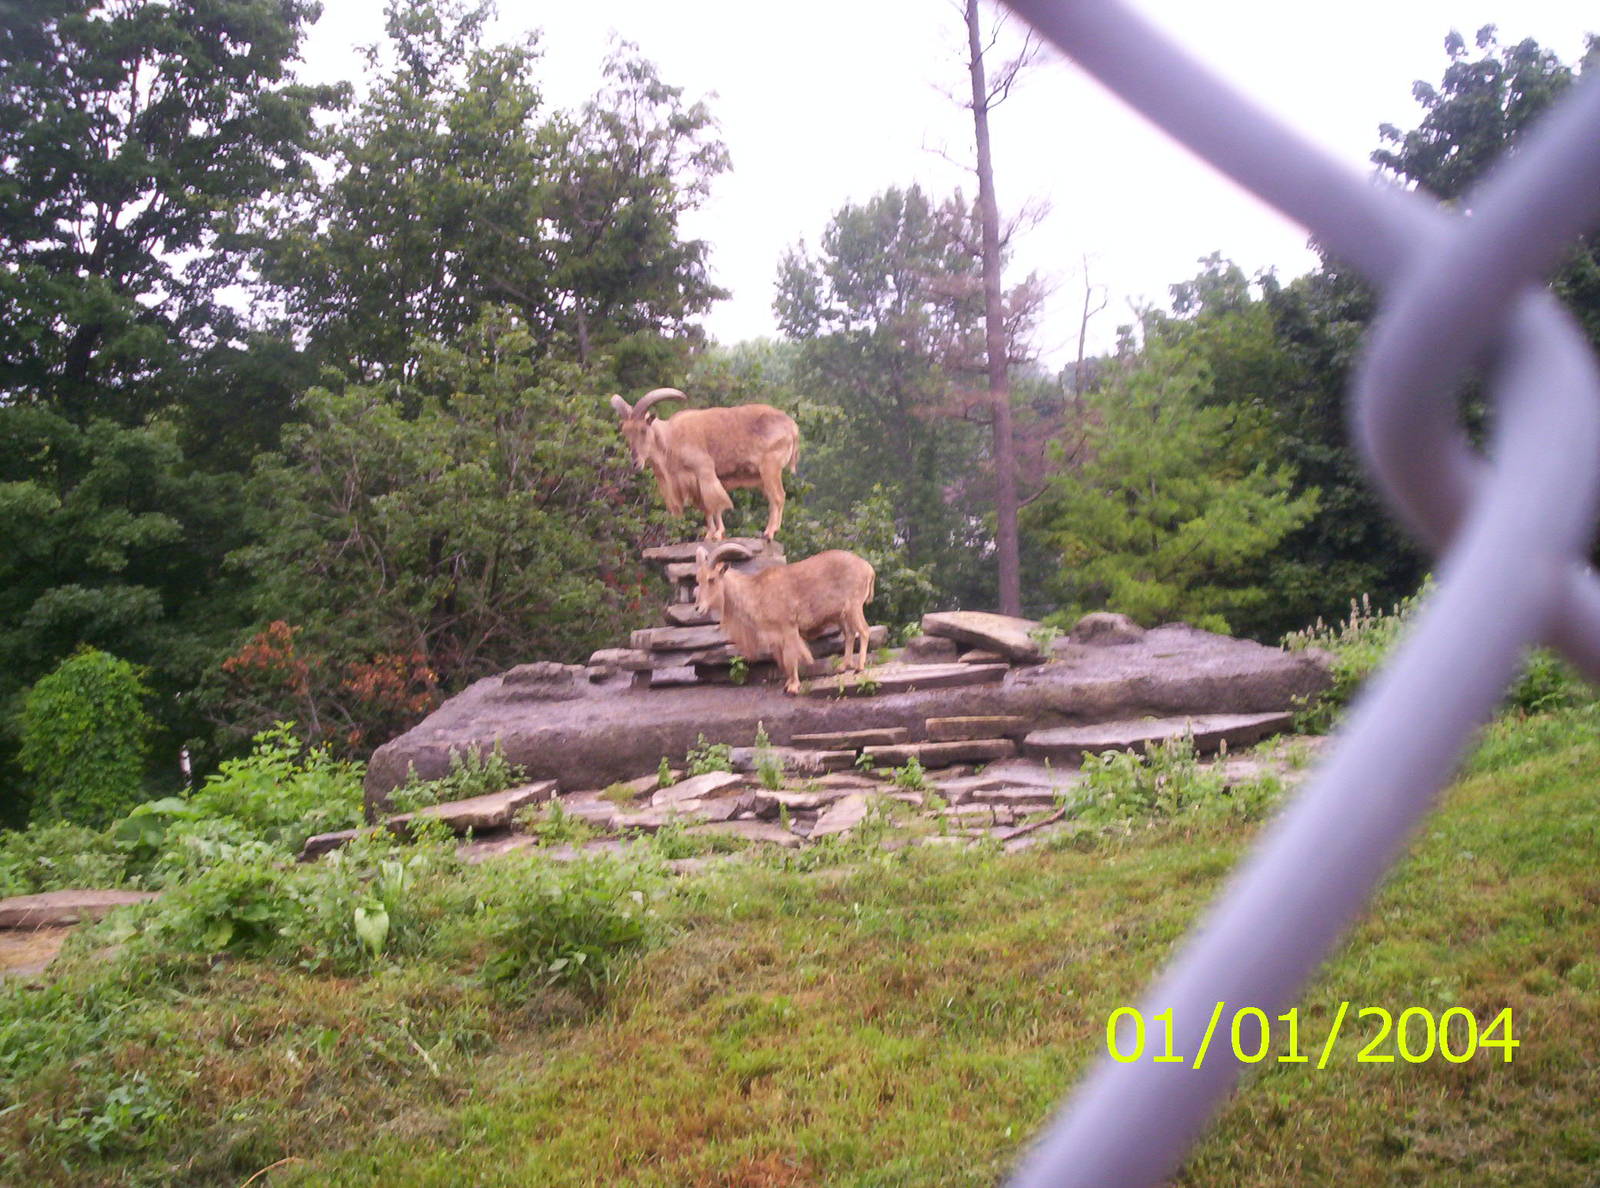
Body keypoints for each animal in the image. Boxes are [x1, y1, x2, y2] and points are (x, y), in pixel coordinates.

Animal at [608, 387, 799, 541]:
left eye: (643, 429)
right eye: (625, 432)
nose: (635, 463)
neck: (670, 439)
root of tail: (792, 426)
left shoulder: (703, 469)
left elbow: (714, 502)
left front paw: (716, 533)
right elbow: (707, 509)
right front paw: (711, 534)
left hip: (770, 467)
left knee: (778, 496)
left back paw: (769, 533)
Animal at [694, 542, 876, 695]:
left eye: (711, 579)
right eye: (698, 579)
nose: (698, 608)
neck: (756, 592)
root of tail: (868, 568)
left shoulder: (788, 627)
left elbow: (790, 657)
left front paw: (793, 687)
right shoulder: (776, 636)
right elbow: (782, 659)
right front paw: (788, 683)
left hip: (854, 607)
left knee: (864, 631)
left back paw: (859, 667)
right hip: (841, 615)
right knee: (850, 634)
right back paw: (843, 666)